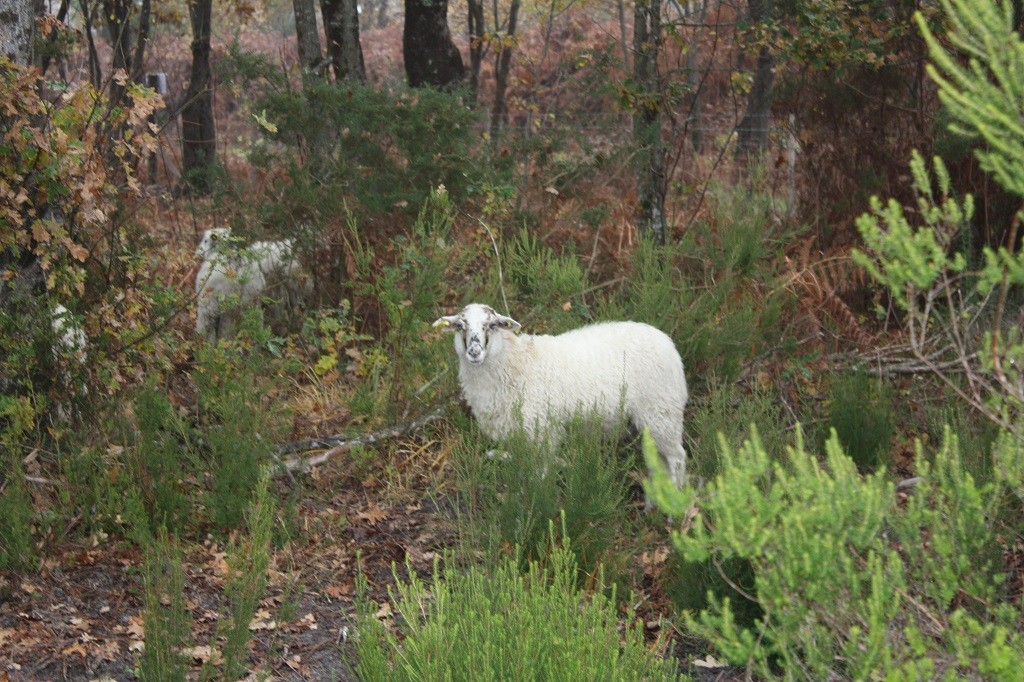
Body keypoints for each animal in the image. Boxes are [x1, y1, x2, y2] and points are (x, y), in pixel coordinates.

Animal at [433, 303, 689, 489]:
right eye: (460, 326)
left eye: (493, 325)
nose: (474, 352)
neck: (515, 362)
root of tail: (669, 344)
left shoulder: (545, 429)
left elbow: (541, 470)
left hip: (661, 411)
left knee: (677, 457)